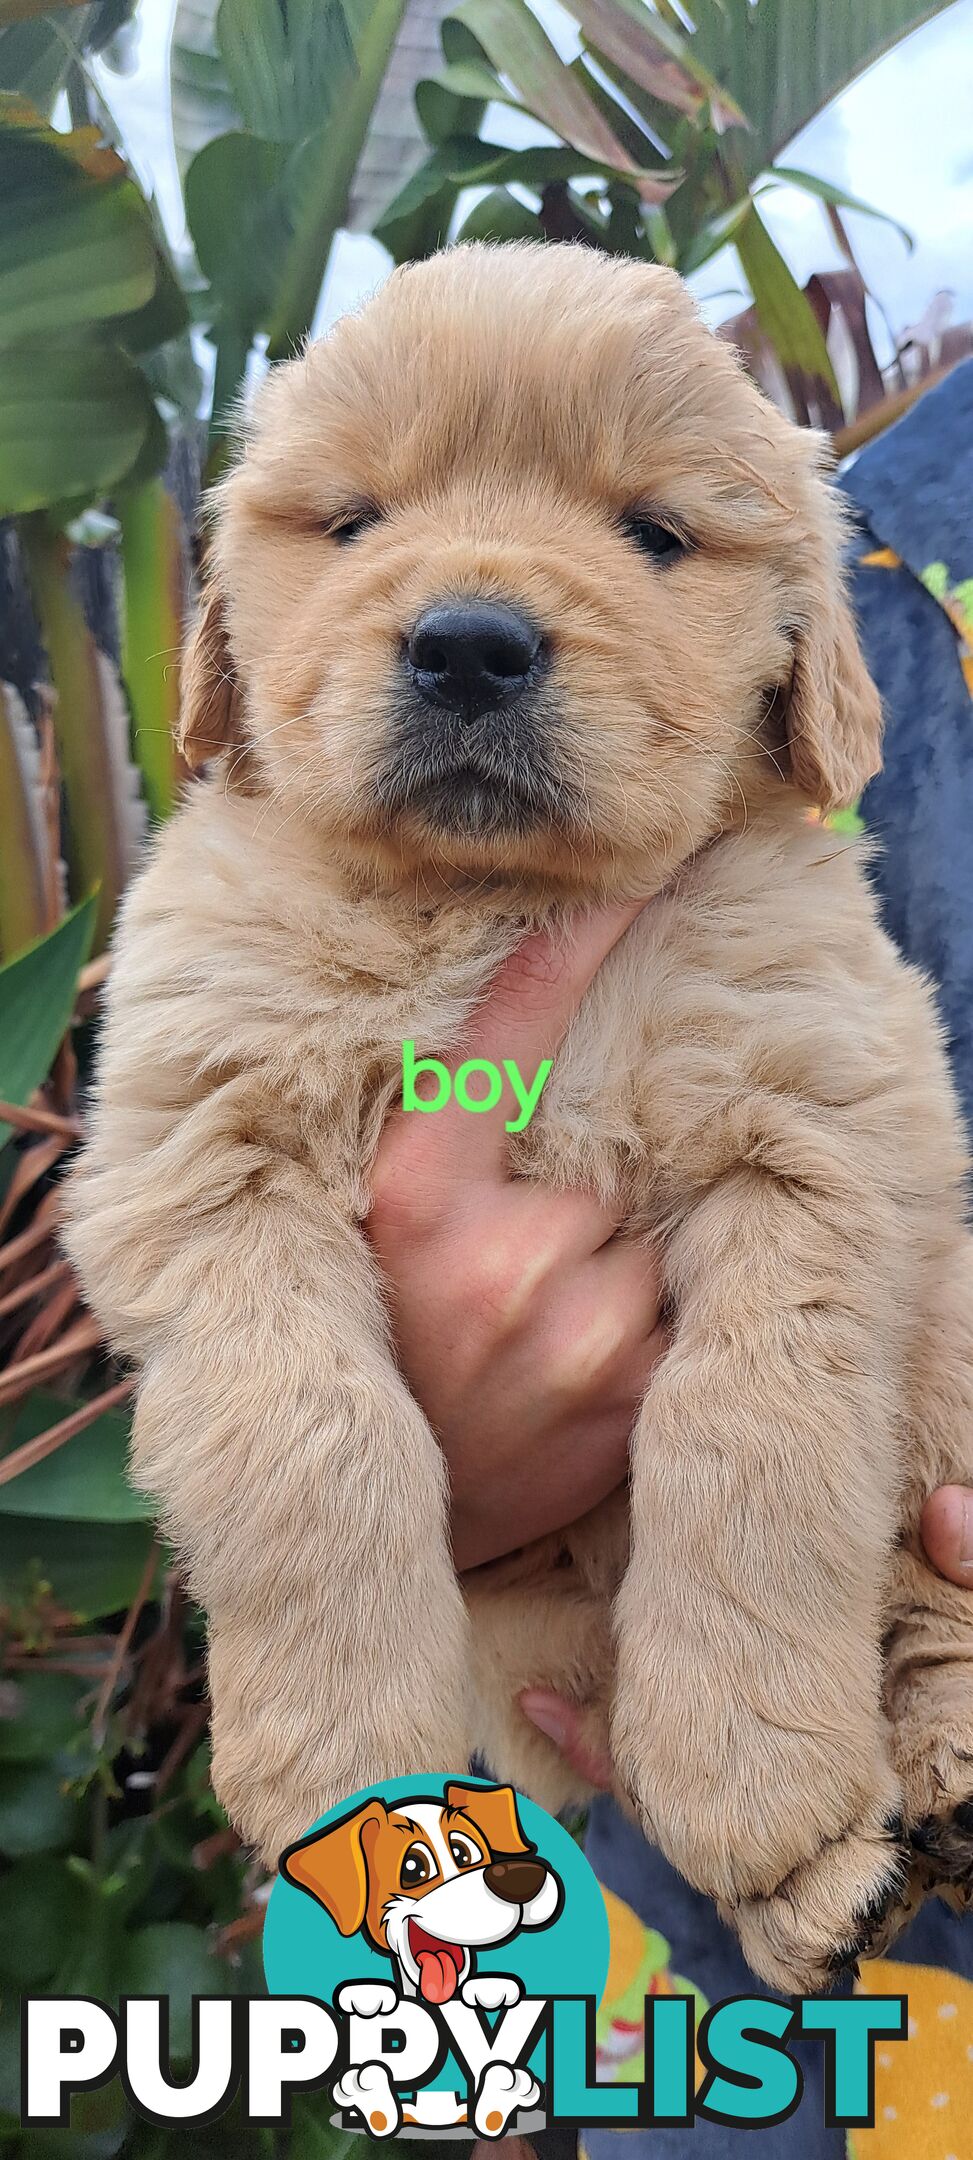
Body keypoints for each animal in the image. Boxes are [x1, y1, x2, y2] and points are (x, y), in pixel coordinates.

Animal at [64, 240, 972, 1987]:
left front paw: (750, 1766)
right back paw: (837, 1887)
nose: (471, 645)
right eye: (353, 522)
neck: (480, 905)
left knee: (926, 1602)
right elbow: (309, 1443)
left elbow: (746, 1438)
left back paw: (901, 1797)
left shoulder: (816, 1132)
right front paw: (344, 1767)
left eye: (655, 534)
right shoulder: (202, 1146)